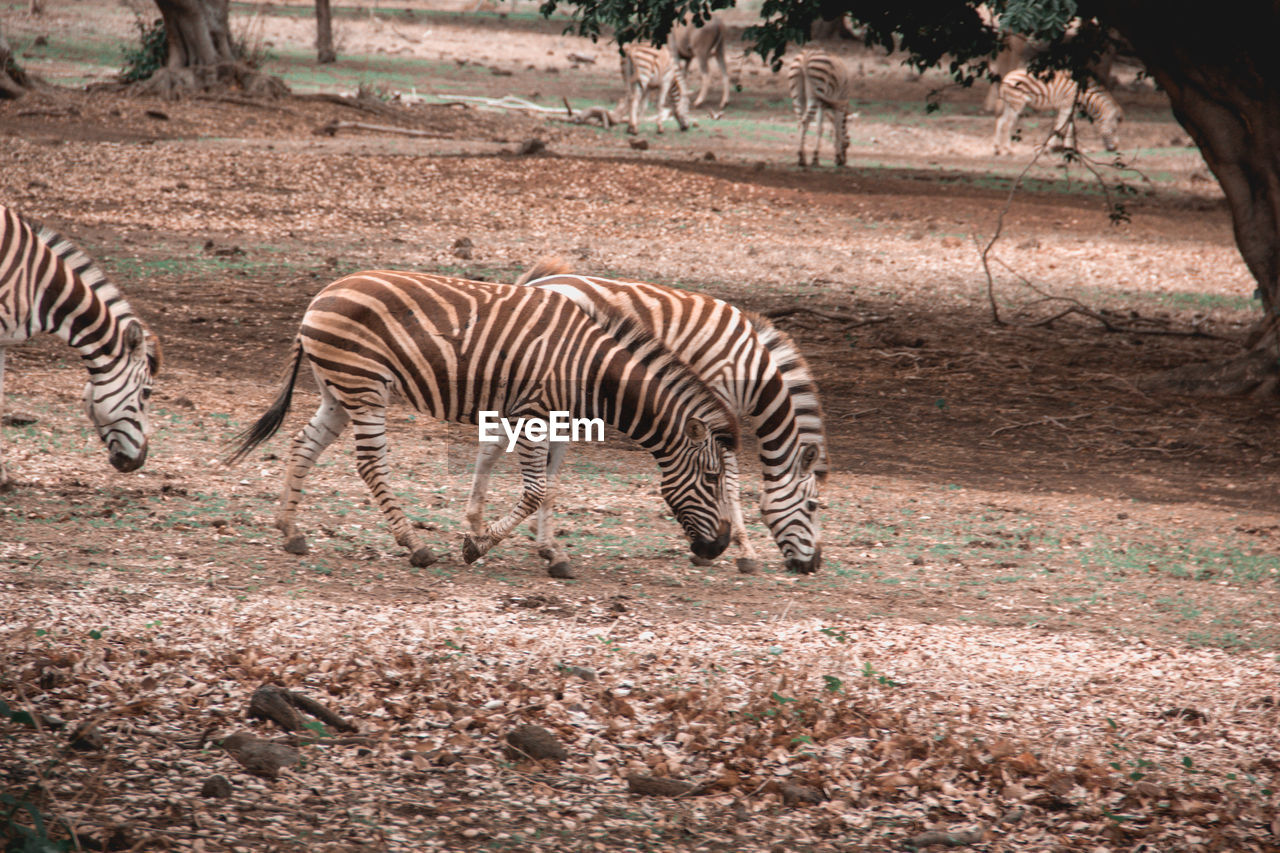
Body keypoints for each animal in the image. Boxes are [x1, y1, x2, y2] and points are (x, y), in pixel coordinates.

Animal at [225, 268, 737, 573]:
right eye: (712, 479)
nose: (719, 549)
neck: (590, 369)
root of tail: (323, 293)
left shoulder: (557, 420)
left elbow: (551, 487)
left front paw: (551, 553)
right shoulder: (534, 413)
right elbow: (536, 491)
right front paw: (476, 545)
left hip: (338, 388)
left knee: (303, 444)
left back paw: (290, 530)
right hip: (364, 385)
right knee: (370, 464)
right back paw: (414, 544)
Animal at [468, 256, 829, 573]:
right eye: (812, 506)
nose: (813, 565)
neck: (752, 368)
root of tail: (535, 284)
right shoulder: (716, 406)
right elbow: (731, 481)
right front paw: (743, 552)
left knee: (494, 444)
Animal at [993, 67, 1126, 154]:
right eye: (1114, 130)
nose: (1115, 148)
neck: (1083, 95)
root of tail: (1006, 77)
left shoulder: (1071, 110)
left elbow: (1069, 128)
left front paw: (1070, 149)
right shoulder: (1066, 107)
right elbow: (1060, 127)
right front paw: (1048, 148)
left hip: (1009, 104)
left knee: (1000, 121)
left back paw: (997, 149)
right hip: (1016, 104)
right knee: (1006, 124)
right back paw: (1008, 150)